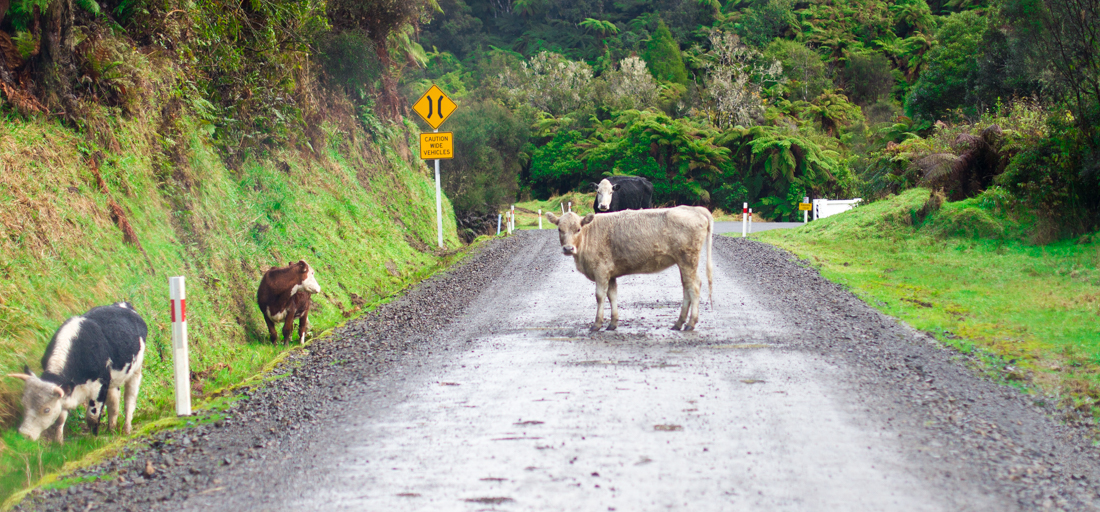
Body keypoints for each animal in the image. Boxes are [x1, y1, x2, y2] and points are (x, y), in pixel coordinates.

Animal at [6, 301, 146, 440]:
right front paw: (58, 441)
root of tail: (123, 304)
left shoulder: (100, 385)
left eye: (46, 410)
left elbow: (92, 417)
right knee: (114, 402)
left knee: (129, 401)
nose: (24, 434)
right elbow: (60, 418)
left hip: (136, 371)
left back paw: (126, 429)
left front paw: (93, 439)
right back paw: (111, 429)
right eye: (23, 403)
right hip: (113, 380)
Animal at [547, 205, 712, 330]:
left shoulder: (601, 270)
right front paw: (613, 323)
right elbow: (612, 295)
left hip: (688, 260)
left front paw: (597, 324)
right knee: (687, 286)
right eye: (559, 229)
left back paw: (690, 323)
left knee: (693, 287)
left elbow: (600, 296)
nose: (568, 248)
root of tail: (693, 208)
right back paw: (678, 323)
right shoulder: (610, 273)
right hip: (684, 263)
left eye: (578, 229)